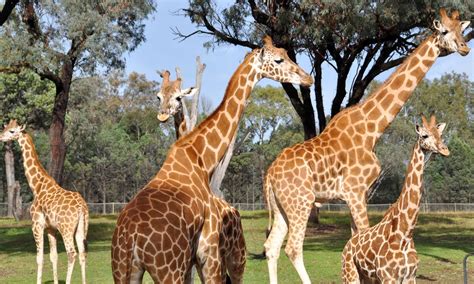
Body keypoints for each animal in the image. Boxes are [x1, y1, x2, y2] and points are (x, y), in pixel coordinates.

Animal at [0, 120, 89, 284]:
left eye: (12, 131)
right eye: (5, 127)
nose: (1, 137)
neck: (37, 186)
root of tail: (82, 208)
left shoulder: (37, 225)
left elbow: (39, 258)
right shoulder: (50, 228)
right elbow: (53, 257)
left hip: (66, 228)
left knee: (71, 253)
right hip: (82, 227)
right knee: (82, 252)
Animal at [342, 115, 450, 282]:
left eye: (441, 135)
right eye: (424, 135)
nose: (445, 150)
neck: (405, 234)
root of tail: (349, 242)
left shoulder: (410, 276)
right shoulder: (388, 277)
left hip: (368, 278)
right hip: (350, 273)